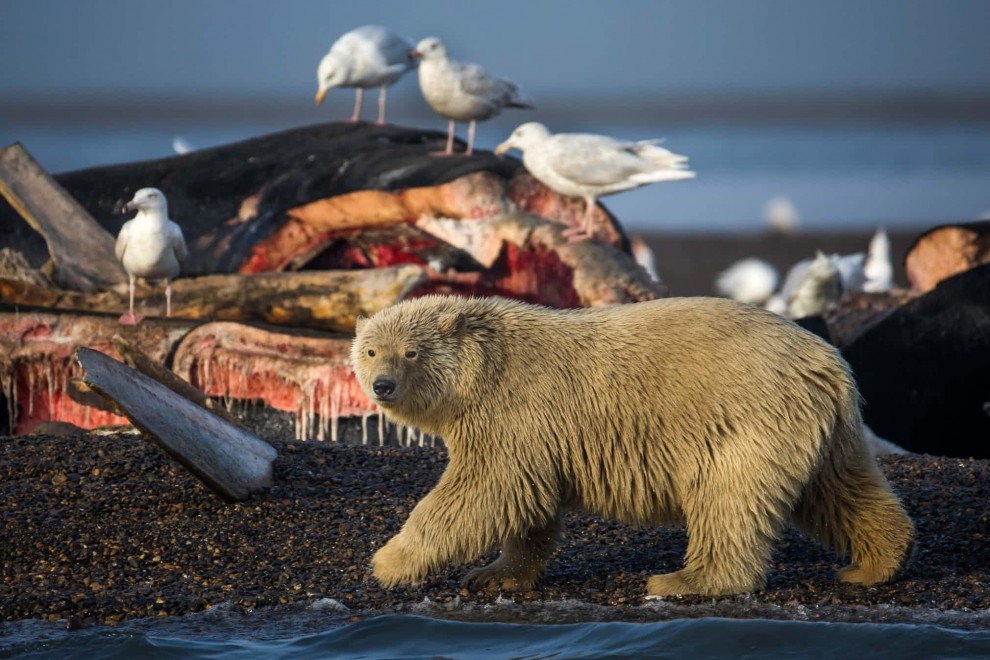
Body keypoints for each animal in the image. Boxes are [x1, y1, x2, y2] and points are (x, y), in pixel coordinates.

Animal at [350, 296, 916, 596]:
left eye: (411, 350)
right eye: (371, 349)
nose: (382, 385)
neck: (482, 373)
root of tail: (828, 363)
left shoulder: (512, 409)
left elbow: (482, 491)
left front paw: (388, 562)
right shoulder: (529, 432)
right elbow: (527, 504)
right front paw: (494, 575)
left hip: (747, 419)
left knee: (728, 499)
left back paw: (682, 579)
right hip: (824, 431)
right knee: (842, 491)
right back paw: (873, 563)